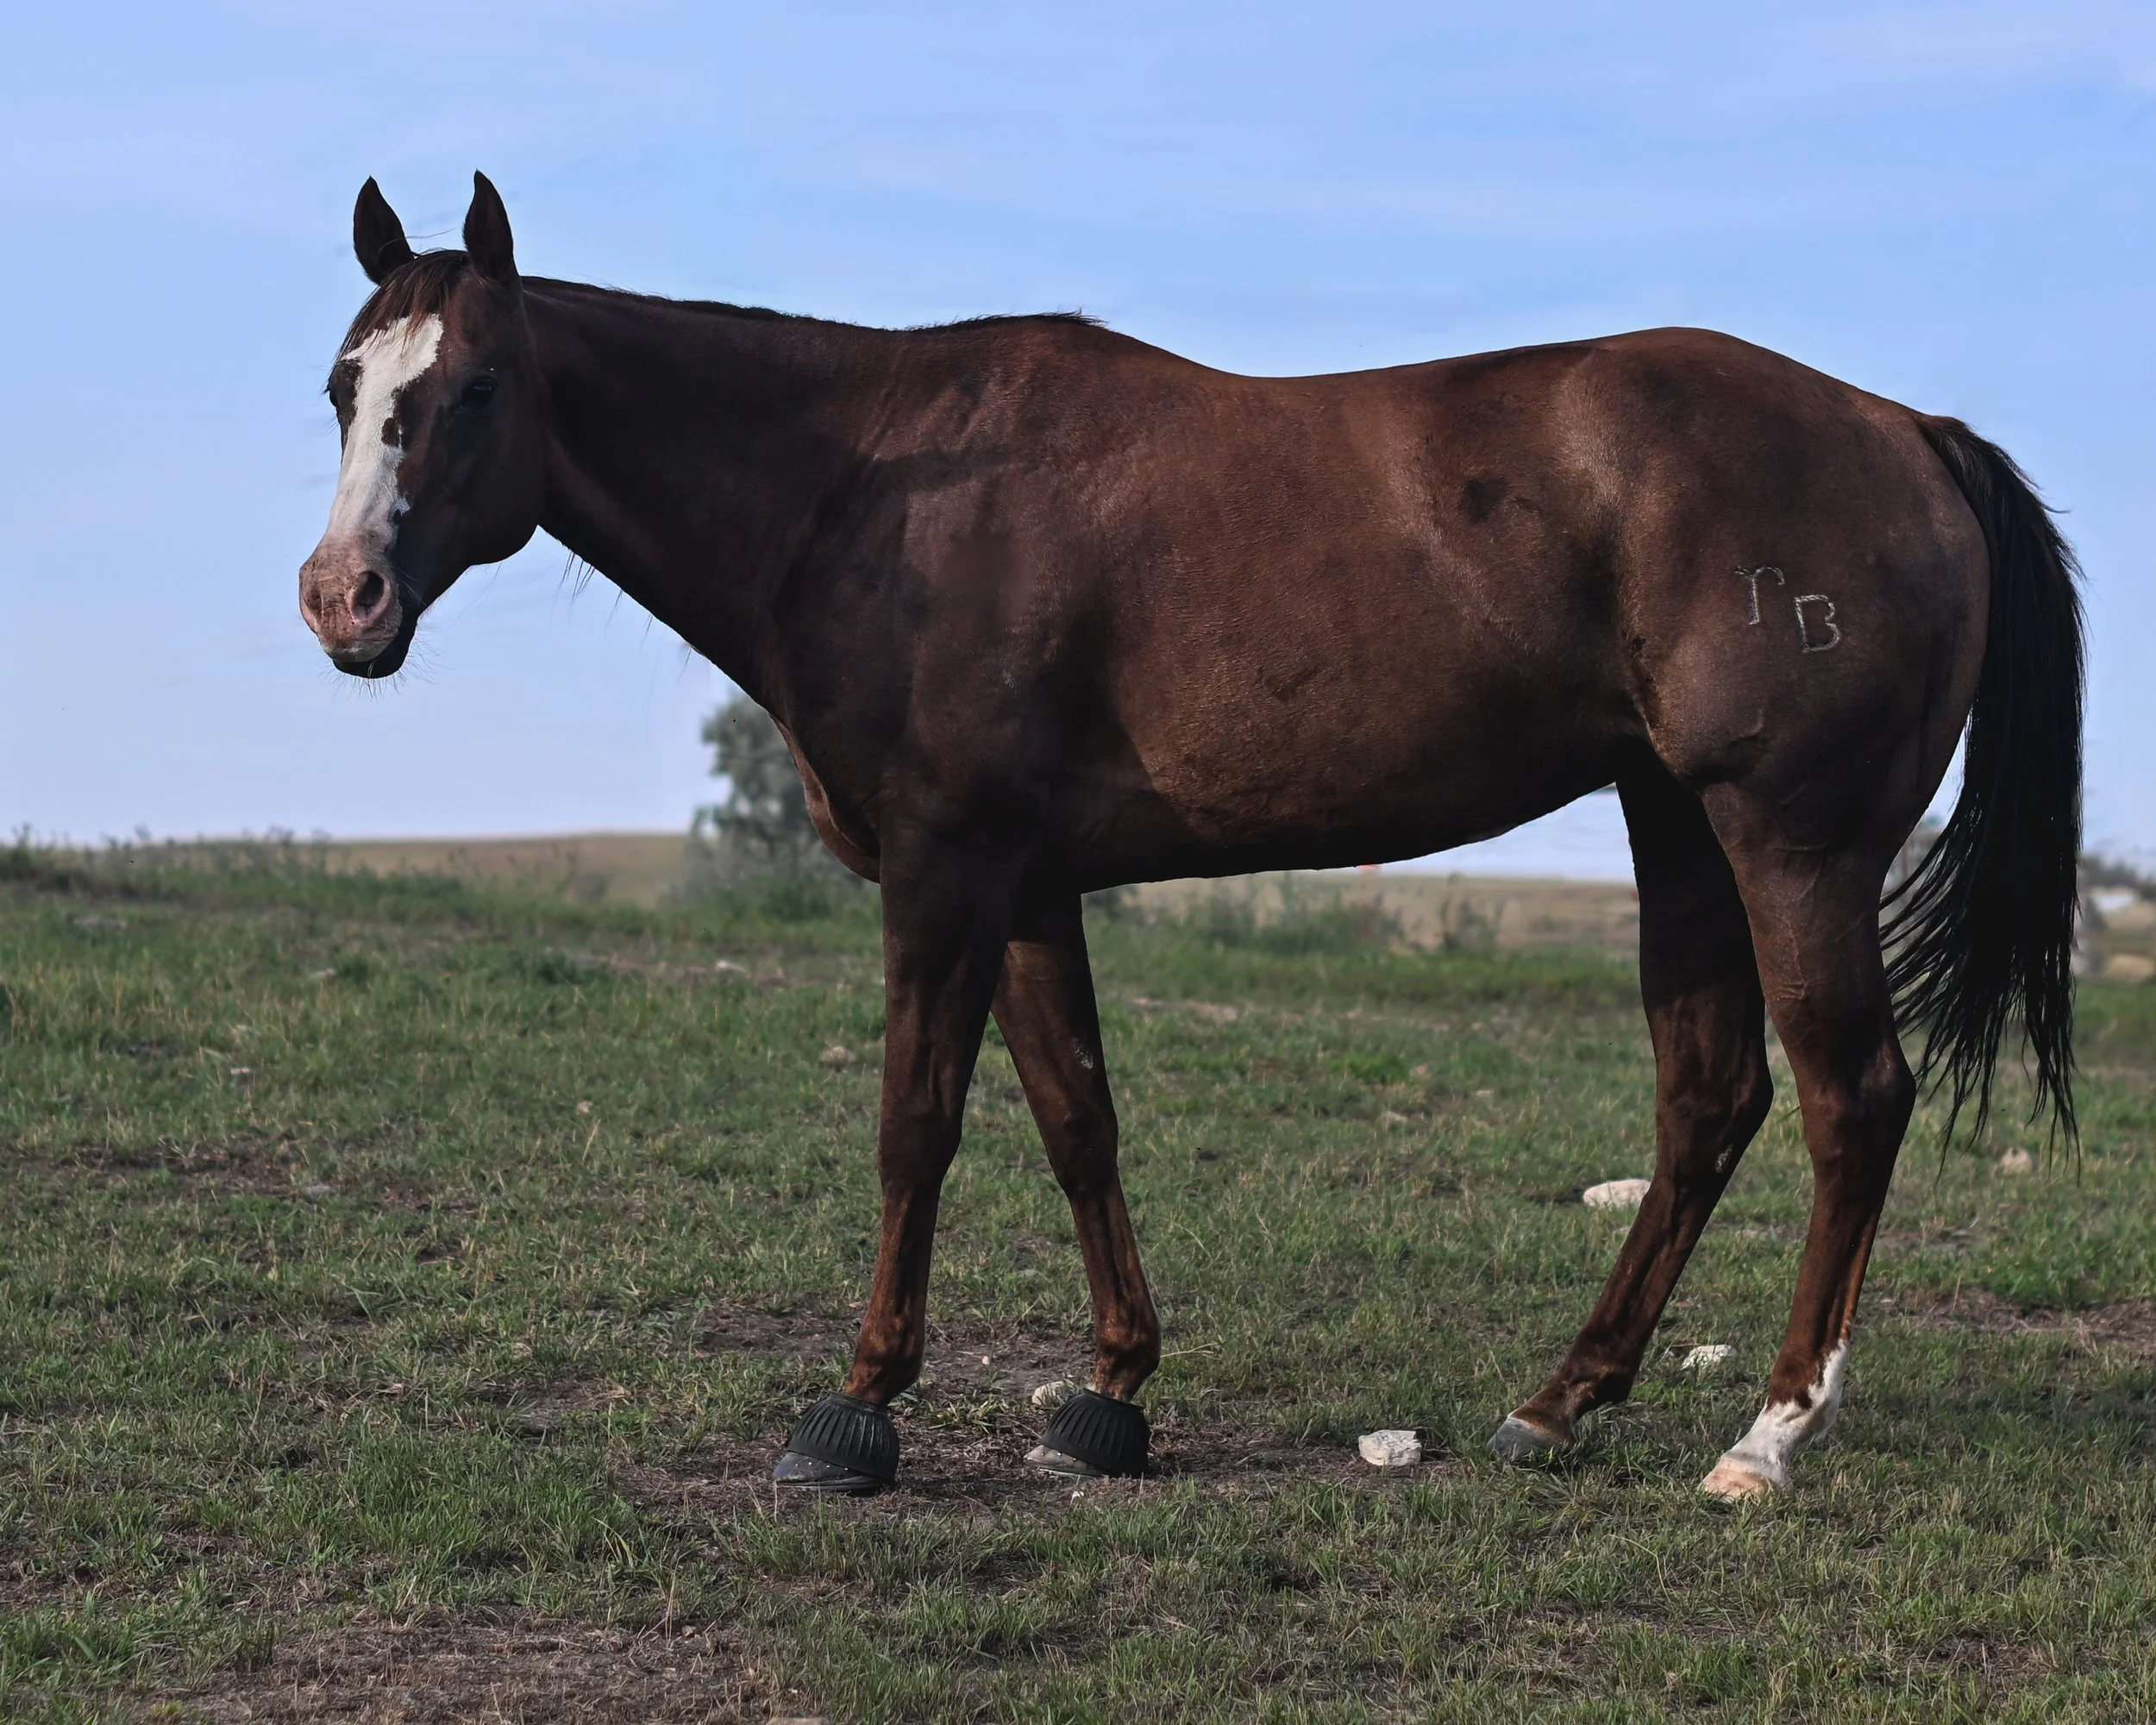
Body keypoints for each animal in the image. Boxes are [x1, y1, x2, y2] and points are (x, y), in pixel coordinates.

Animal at [299, 174, 2081, 1499]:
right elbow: (1077, 1119)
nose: (343, 599)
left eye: (474, 389)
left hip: (1789, 843)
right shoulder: (1026, 884)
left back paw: (1769, 1436)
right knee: (1708, 1099)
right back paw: (1559, 1404)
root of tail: (1908, 432)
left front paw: (858, 1410)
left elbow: (914, 1127)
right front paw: (1109, 1397)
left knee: (1854, 1101)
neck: (871, 490)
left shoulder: (946, 871)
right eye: (343, 389)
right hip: (1680, 829)